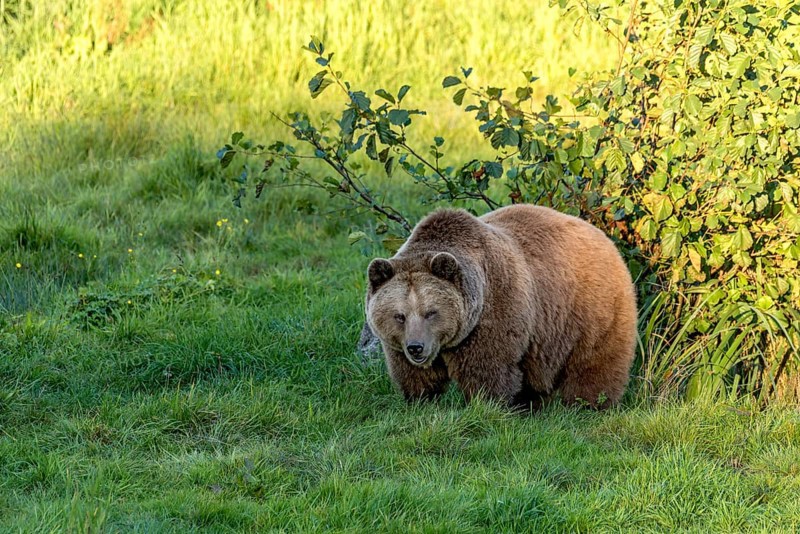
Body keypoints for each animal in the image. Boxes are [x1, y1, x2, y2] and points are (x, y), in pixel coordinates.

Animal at [365, 204, 638, 409]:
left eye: (431, 312)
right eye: (399, 315)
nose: (416, 348)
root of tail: (604, 237)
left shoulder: (493, 312)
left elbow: (489, 370)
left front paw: (488, 405)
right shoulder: (400, 347)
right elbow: (416, 377)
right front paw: (421, 399)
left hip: (590, 308)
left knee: (596, 361)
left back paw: (589, 404)